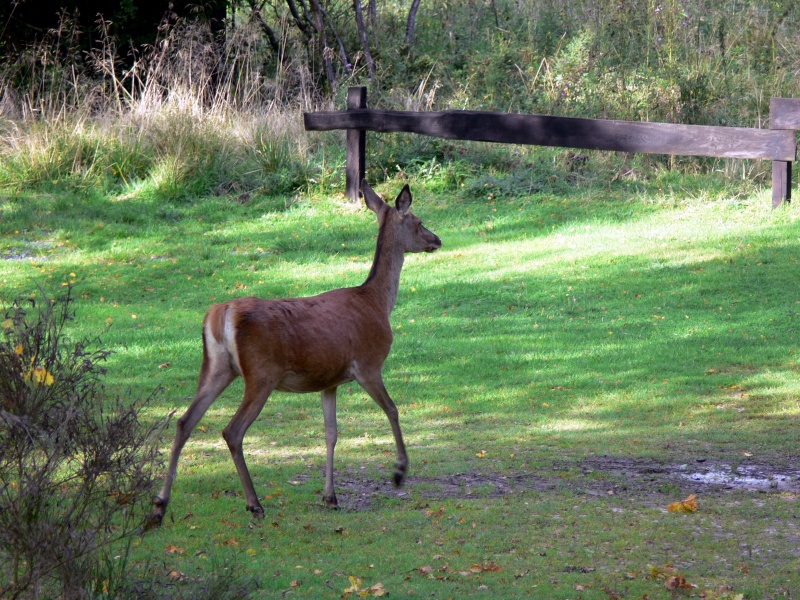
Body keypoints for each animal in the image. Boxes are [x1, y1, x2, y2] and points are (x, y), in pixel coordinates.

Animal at [147, 179, 440, 524]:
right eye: (418, 222)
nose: (436, 239)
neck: (378, 302)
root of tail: (223, 313)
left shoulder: (330, 381)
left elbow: (331, 433)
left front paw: (330, 496)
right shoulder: (369, 364)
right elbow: (393, 410)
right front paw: (399, 472)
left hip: (217, 367)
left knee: (184, 422)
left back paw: (160, 504)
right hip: (262, 373)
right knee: (232, 431)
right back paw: (254, 503)